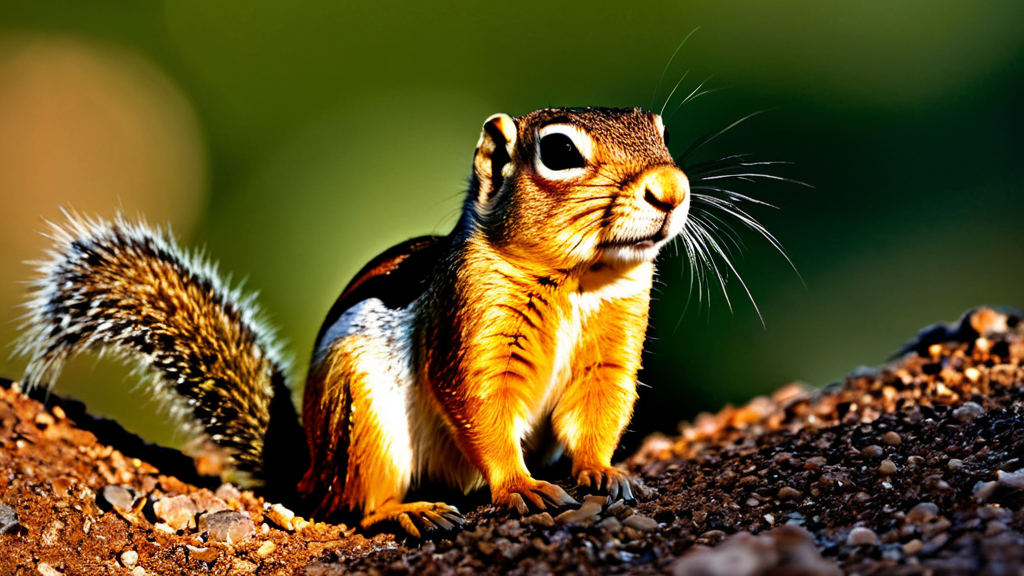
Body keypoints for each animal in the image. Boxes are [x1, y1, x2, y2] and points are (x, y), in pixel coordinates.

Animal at [17, 107, 691, 537]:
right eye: (558, 152)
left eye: (660, 131)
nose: (672, 188)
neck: (579, 280)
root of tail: (308, 472)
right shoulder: (471, 330)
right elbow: (480, 406)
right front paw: (518, 486)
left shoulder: (609, 349)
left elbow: (597, 413)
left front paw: (604, 471)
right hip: (361, 417)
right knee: (354, 506)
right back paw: (406, 512)